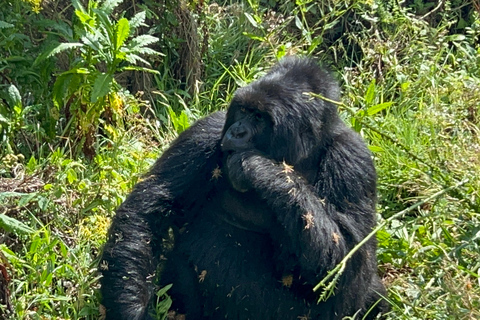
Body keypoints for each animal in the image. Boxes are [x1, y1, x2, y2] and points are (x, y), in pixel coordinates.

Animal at [99, 57, 388, 320]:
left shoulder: (353, 160)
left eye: (259, 117)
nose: (237, 132)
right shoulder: (207, 130)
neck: (300, 155)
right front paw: (132, 310)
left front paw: (262, 168)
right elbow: (150, 210)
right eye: (243, 110)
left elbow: (348, 263)